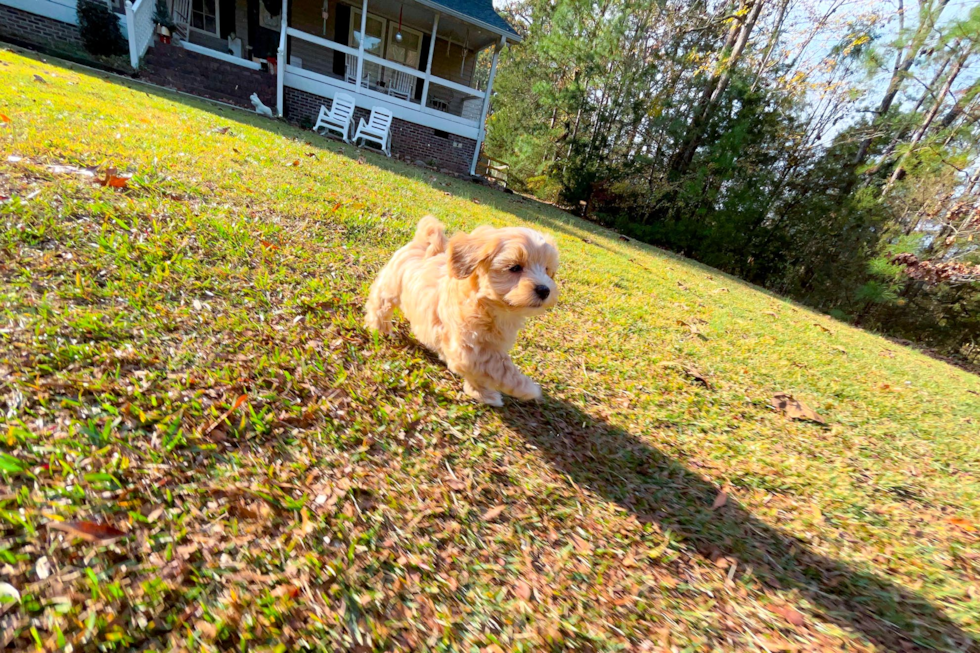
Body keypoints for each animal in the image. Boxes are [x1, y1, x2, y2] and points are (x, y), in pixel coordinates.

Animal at [364, 216, 560, 404]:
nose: (544, 290)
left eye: (546, 269)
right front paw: (528, 389)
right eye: (515, 267)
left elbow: (480, 374)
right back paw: (381, 329)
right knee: (380, 305)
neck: (490, 306)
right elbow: (501, 367)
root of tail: (422, 242)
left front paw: (482, 393)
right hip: (390, 287)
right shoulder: (471, 348)